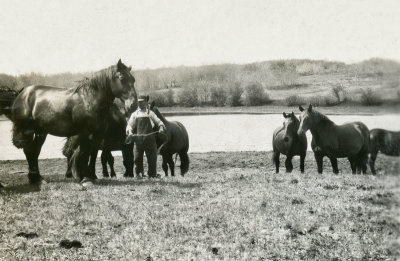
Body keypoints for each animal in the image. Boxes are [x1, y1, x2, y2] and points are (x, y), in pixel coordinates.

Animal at [3, 60, 136, 184]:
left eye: (133, 80)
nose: (133, 105)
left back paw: (37, 179)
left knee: (33, 151)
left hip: (41, 132)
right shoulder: (85, 133)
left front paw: (89, 176)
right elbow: (84, 154)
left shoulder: (98, 136)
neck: (89, 100)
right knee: (29, 150)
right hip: (28, 131)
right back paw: (36, 178)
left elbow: (91, 155)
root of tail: (23, 93)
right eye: (122, 78)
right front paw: (85, 178)